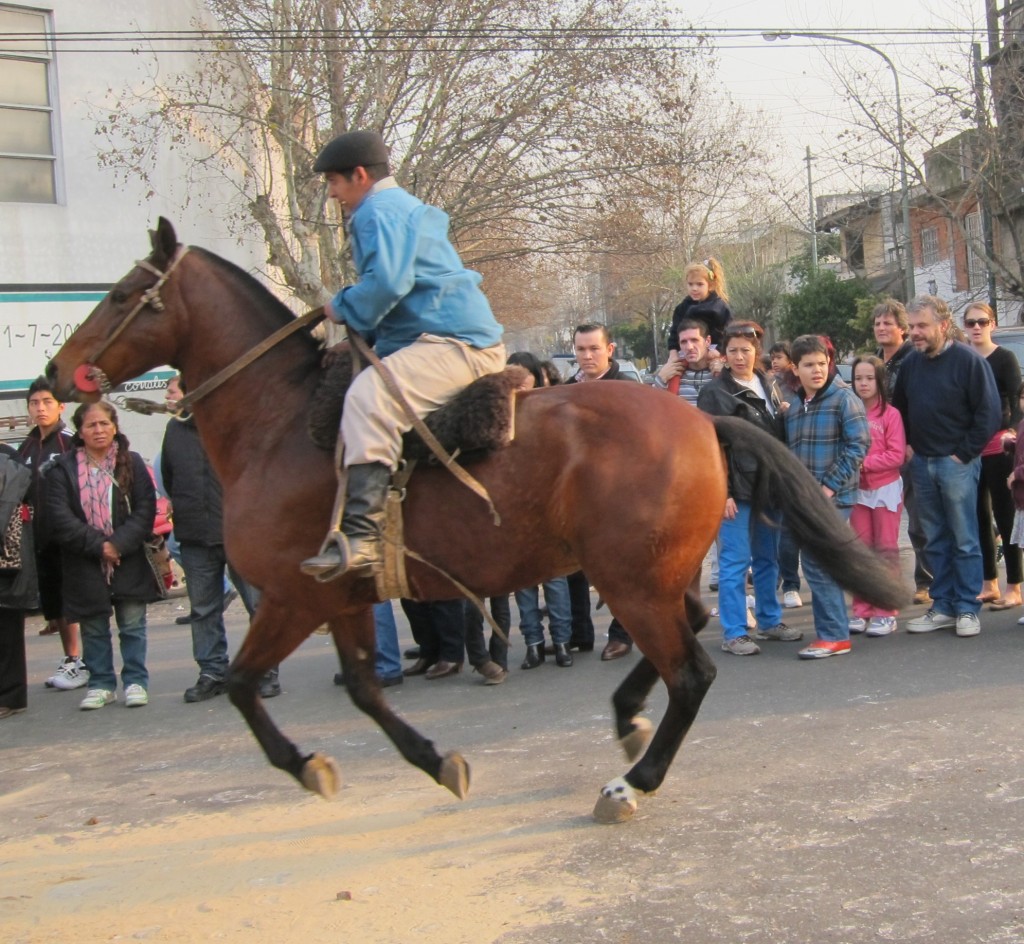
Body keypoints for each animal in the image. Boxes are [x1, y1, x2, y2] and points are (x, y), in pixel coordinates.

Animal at [49, 217, 905, 819]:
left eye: (122, 295)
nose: (58, 372)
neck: (280, 423)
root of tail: (701, 420)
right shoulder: (343, 598)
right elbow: (365, 690)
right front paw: (434, 762)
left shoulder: (295, 595)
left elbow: (241, 682)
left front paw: (308, 765)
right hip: (646, 574)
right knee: (689, 628)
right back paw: (627, 718)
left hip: (629, 580)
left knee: (690, 671)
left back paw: (633, 781)